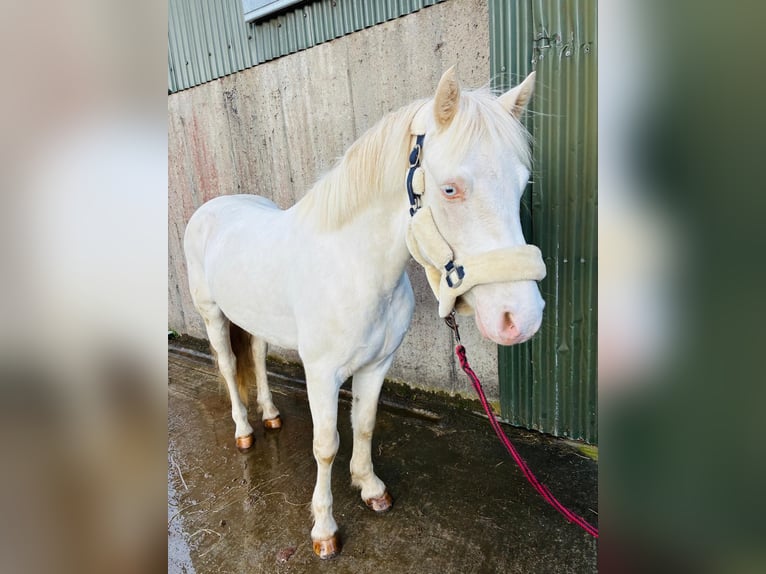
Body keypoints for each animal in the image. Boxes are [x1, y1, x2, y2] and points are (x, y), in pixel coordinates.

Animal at [183, 67, 546, 559]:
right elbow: (325, 444)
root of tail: (213, 207)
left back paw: (272, 414)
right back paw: (244, 431)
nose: (520, 317)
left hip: (254, 319)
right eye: (450, 189)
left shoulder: (377, 365)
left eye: (522, 183)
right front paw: (324, 530)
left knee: (255, 357)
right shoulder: (321, 374)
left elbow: (366, 424)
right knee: (226, 365)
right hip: (213, 315)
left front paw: (370, 488)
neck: (354, 267)